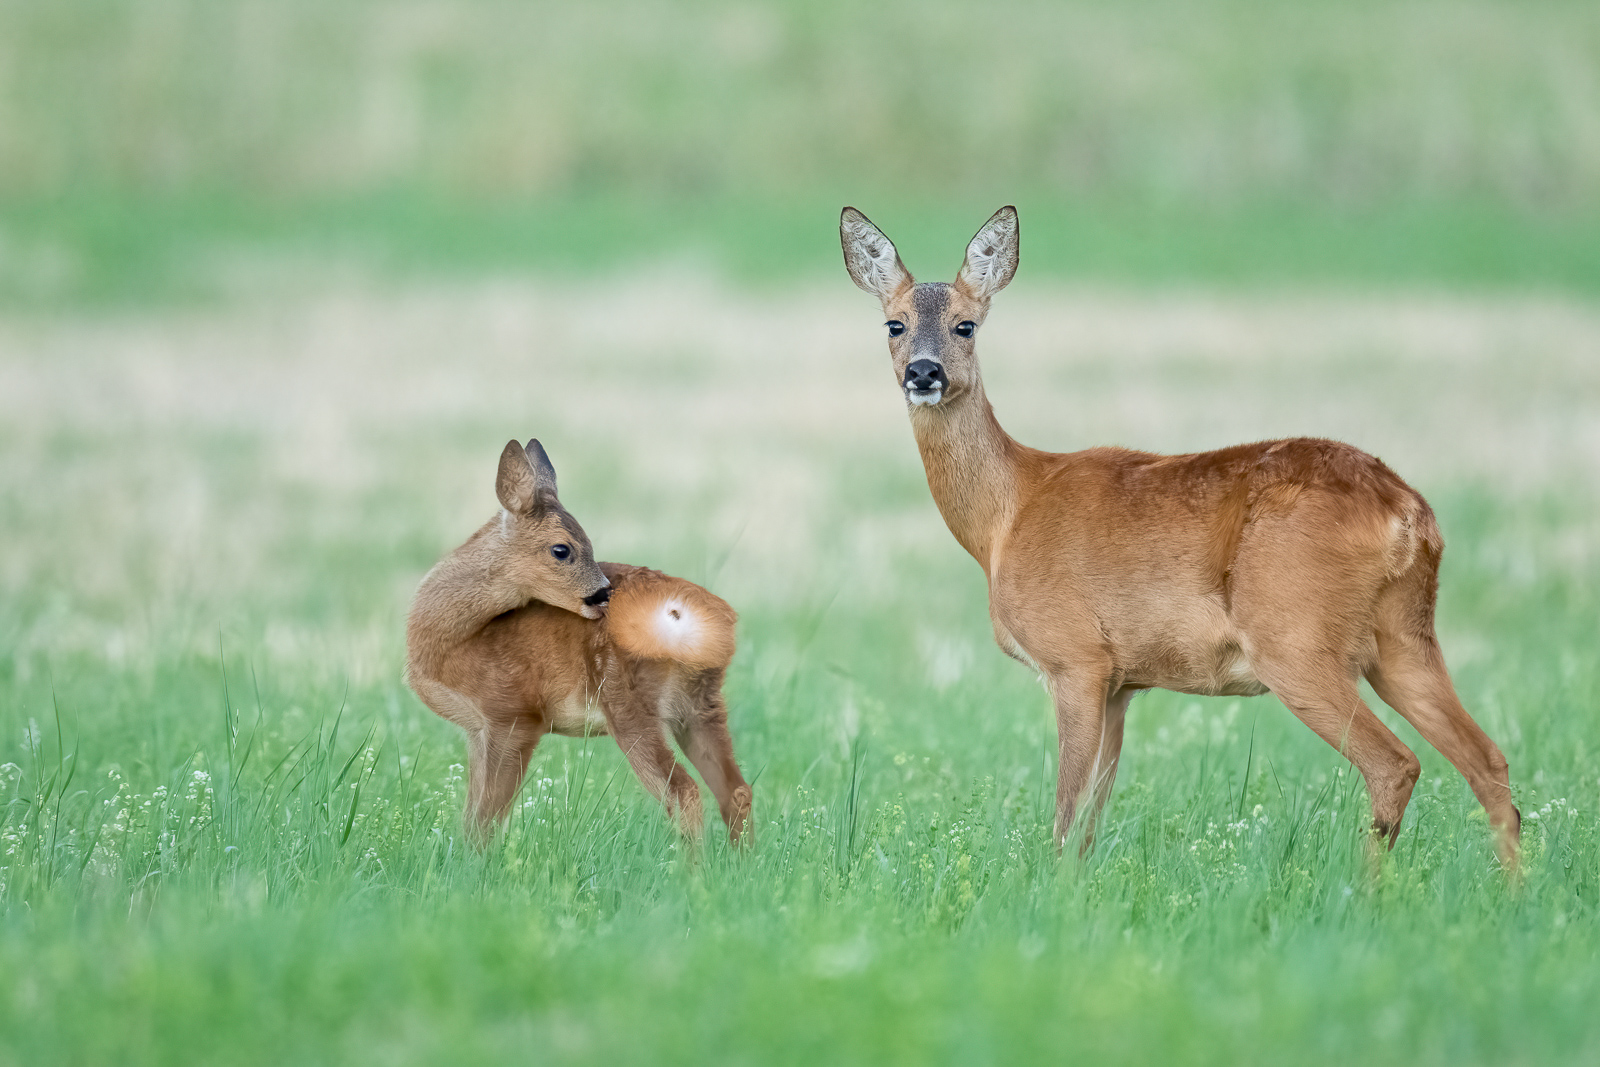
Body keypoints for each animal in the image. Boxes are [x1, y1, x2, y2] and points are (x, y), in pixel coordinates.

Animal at [844, 206, 1516, 870]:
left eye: (966, 326)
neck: (1005, 516)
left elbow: (1065, 818)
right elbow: (1089, 822)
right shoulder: (1122, 682)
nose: (923, 372)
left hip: (1295, 638)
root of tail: (1409, 512)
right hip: (1403, 636)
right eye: (893, 324)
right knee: (1489, 761)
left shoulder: (1075, 658)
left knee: (1396, 764)